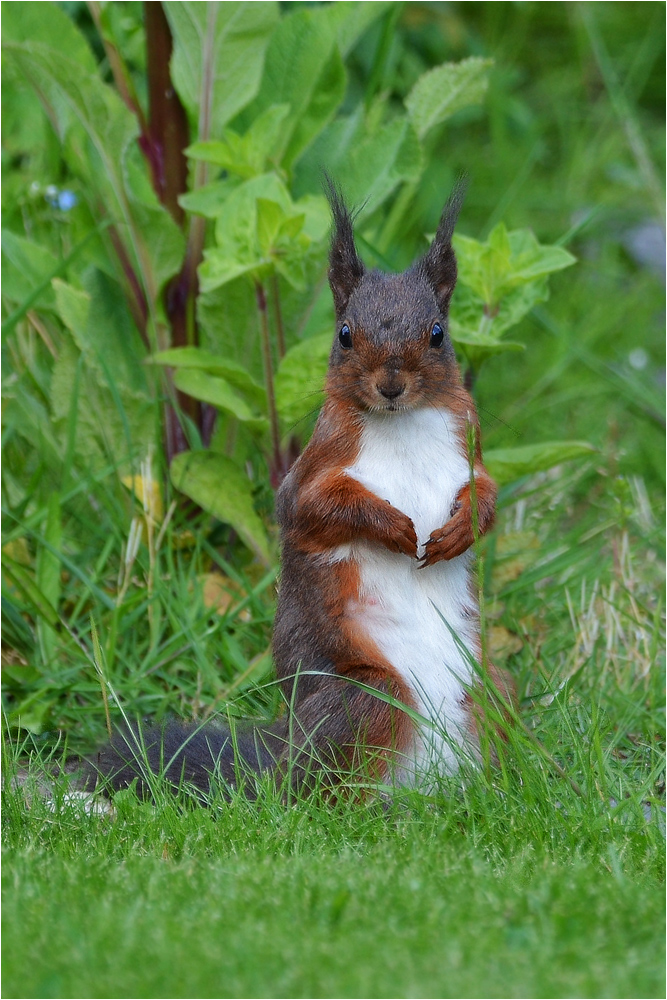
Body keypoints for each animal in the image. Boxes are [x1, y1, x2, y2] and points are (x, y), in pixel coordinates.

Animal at [90, 184, 512, 800]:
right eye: (344, 334)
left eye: (438, 333)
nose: (391, 384)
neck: (402, 424)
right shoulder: (312, 469)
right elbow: (315, 509)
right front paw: (394, 528)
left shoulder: (469, 444)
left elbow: (487, 494)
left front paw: (459, 530)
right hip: (363, 700)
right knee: (314, 792)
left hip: (490, 687)